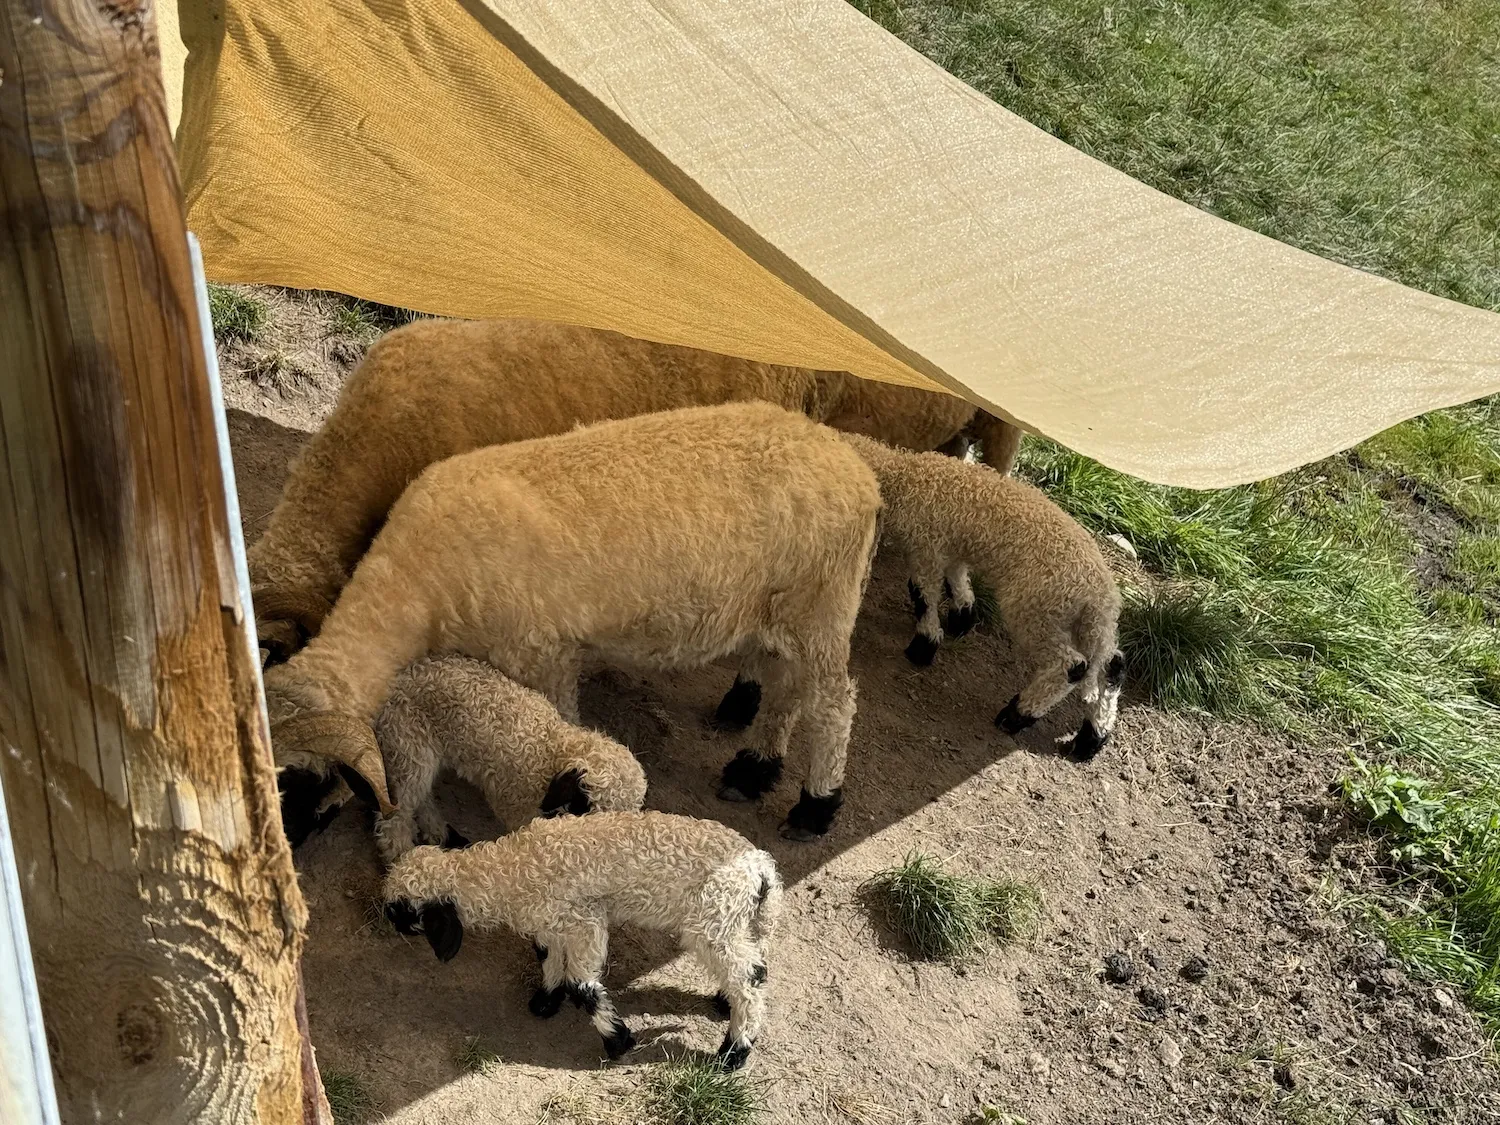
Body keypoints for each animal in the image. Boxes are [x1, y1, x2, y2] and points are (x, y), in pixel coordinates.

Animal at [372, 655, 648, 865]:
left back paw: (435, 829)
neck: (554, 754)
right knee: (397, 813)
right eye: (593, 809)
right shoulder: (521, 815)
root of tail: (402, 677)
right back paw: (399, 854)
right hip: (409, 749)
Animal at [383, 811, 783, 1069]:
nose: (387, 920)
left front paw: (618, 1041)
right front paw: (546, 1000)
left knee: (750, 979)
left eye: (402, 910)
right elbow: (547, 956)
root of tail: (762, 868)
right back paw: (724, 1005)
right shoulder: (553, 922)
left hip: (713, 917)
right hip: (738, 918)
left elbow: (583, 986)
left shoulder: (585, 919)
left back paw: (733, 1053)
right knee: (755, 962)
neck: (509, 871)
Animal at [717, 432, 1123, 761]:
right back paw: (1092, 738)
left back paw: (1018, 715)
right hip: (1080, 623)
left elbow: (923, 591)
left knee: (1070, 665)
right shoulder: (950, 548)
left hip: (1038, 607)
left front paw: (925, 644)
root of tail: (1101, 595)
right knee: (1110, 667)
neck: (905, 476)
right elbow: (957, 583)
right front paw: (961, 618)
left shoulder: (928, 543)